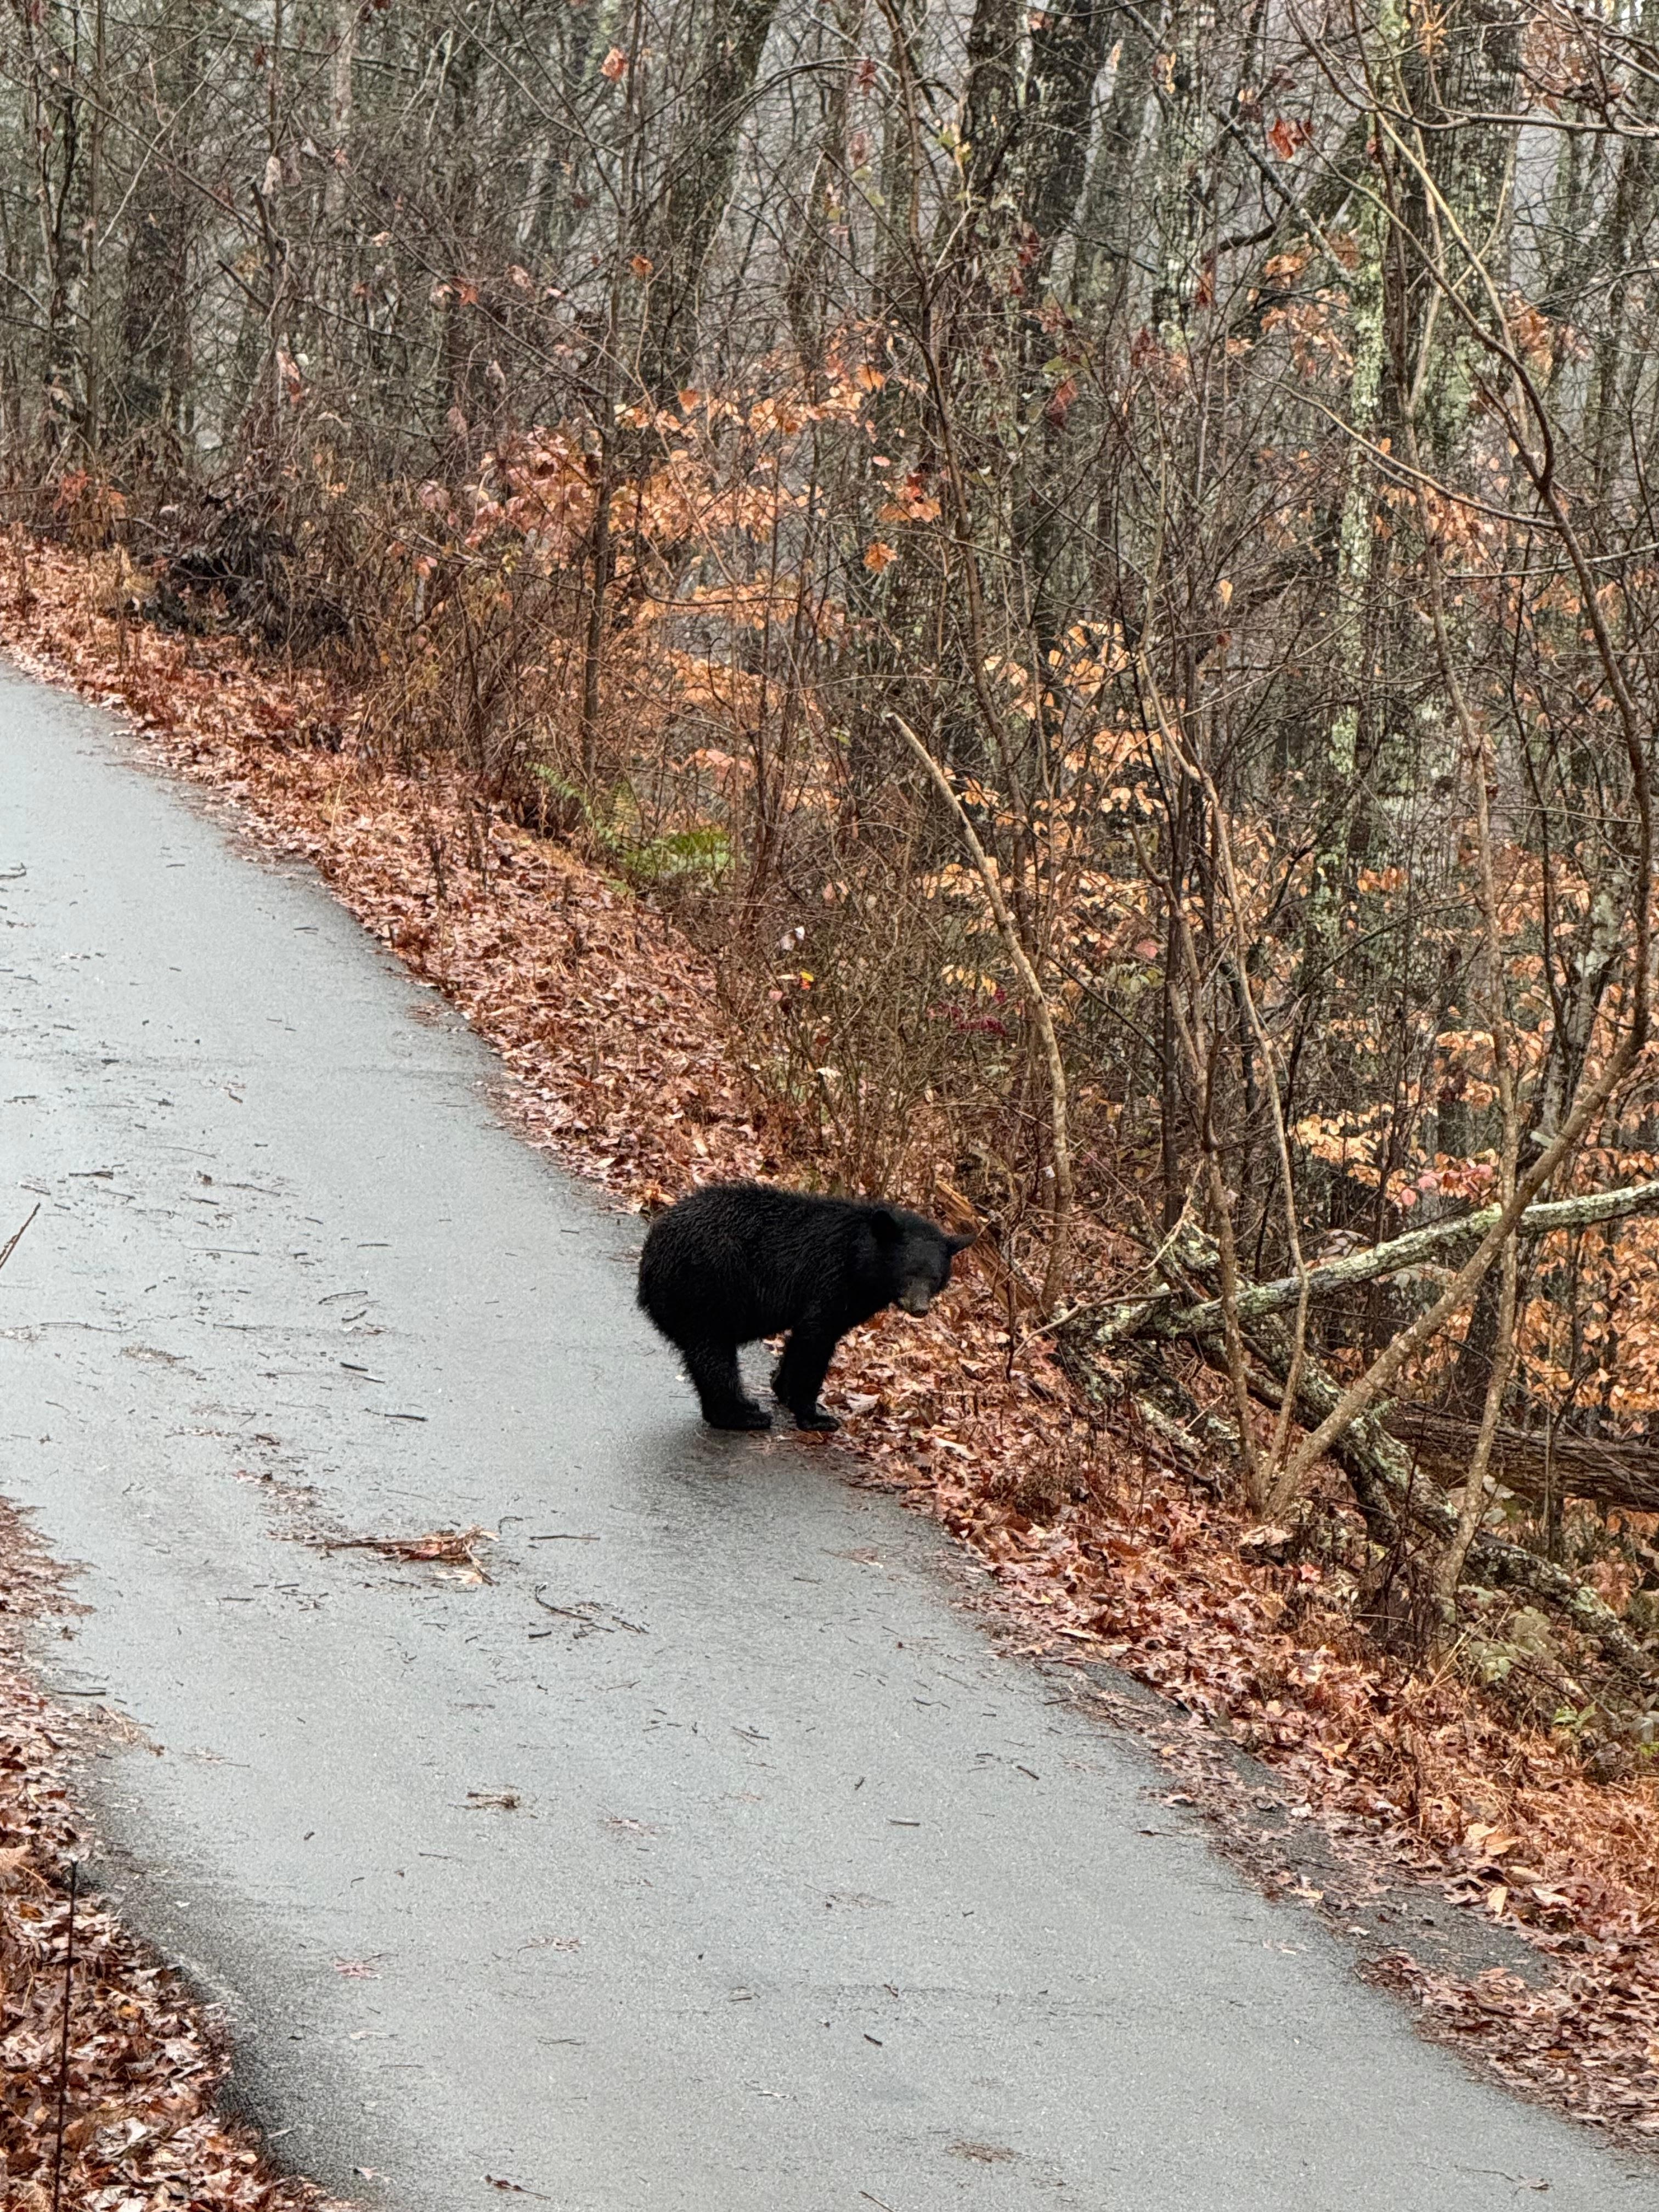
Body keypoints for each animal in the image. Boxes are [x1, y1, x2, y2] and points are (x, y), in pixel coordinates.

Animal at [637, 1181, 972, 1433]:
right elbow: (816, 1340)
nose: (920, 1308)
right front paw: (815, 1416)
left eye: (936, 1278)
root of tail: (651, 1255)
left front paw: (782, 1388)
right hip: (708, 1286)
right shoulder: (829, 1280)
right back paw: (741, 1415)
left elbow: (802, 1338)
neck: (858, 1258)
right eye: (908, 1273)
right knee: (714, 1353)